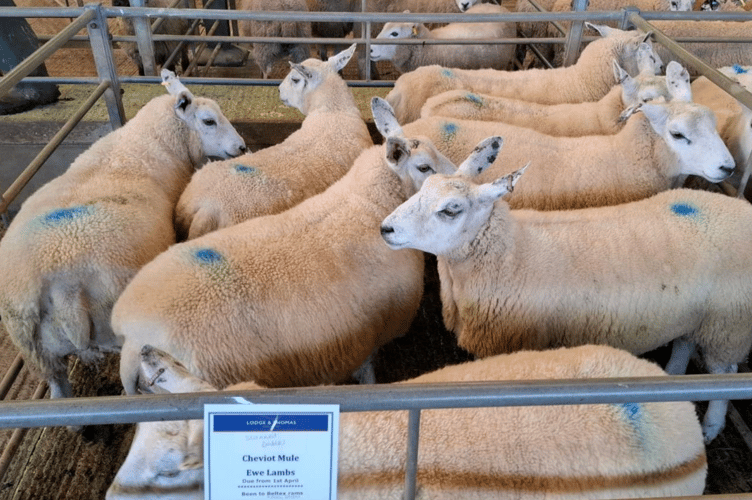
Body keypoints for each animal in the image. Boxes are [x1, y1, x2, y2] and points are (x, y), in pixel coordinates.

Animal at [0, 71, 246, 400]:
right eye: (209, 121)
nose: (241, 147)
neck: (149, 142)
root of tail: (61, 286)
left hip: (39, 353)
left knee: (59, 389)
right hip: (118, 328)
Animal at [111, 97, 497, 396]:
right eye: (424, 167)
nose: (464, 180)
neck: (370, 203)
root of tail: (132, 338)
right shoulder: (367, 332)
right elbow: (367, 371)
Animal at [380, 157, 752, 442]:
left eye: (450, 210)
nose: (385, 229)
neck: (510, 253)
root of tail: (741, 209)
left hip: (729, 323)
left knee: (725, 371)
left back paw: (711, 425)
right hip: (700, 314)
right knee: (686, 342)